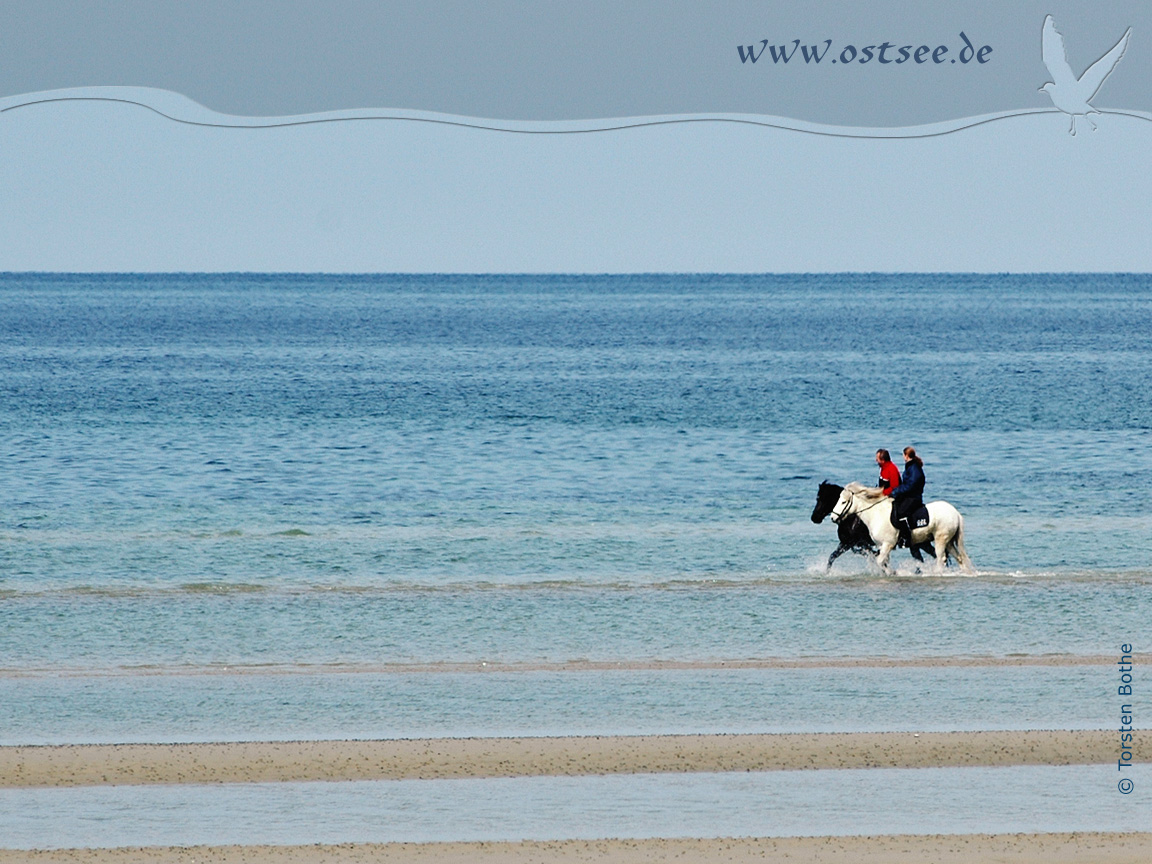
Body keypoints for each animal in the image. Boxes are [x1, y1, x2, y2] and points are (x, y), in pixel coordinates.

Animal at [829, 483, 972, 578]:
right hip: (949, 541)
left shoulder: (888, 544)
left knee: (941, 558)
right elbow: (883, 561)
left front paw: (892, 572)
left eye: (843, 502)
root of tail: (955, 513)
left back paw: (936, 573)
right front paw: (889, 572)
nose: (833, 517)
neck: (876, 514)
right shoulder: (881, 545)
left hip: (940, 539)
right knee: (958, 558)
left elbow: (879, 561)